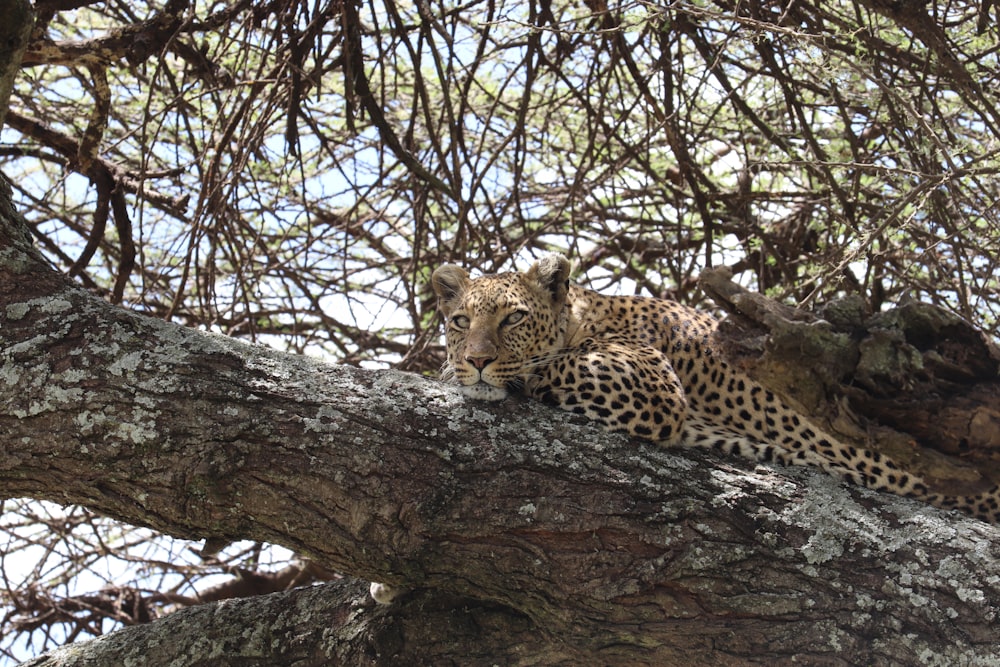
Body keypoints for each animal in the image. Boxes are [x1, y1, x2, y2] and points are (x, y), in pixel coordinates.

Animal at [370, 252, 1000, 604]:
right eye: (459, 320)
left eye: (514, 319)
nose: (476, 358)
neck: (581, 317)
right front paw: (389, 582)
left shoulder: (646, 380)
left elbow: (546, 367)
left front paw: (468, 373)